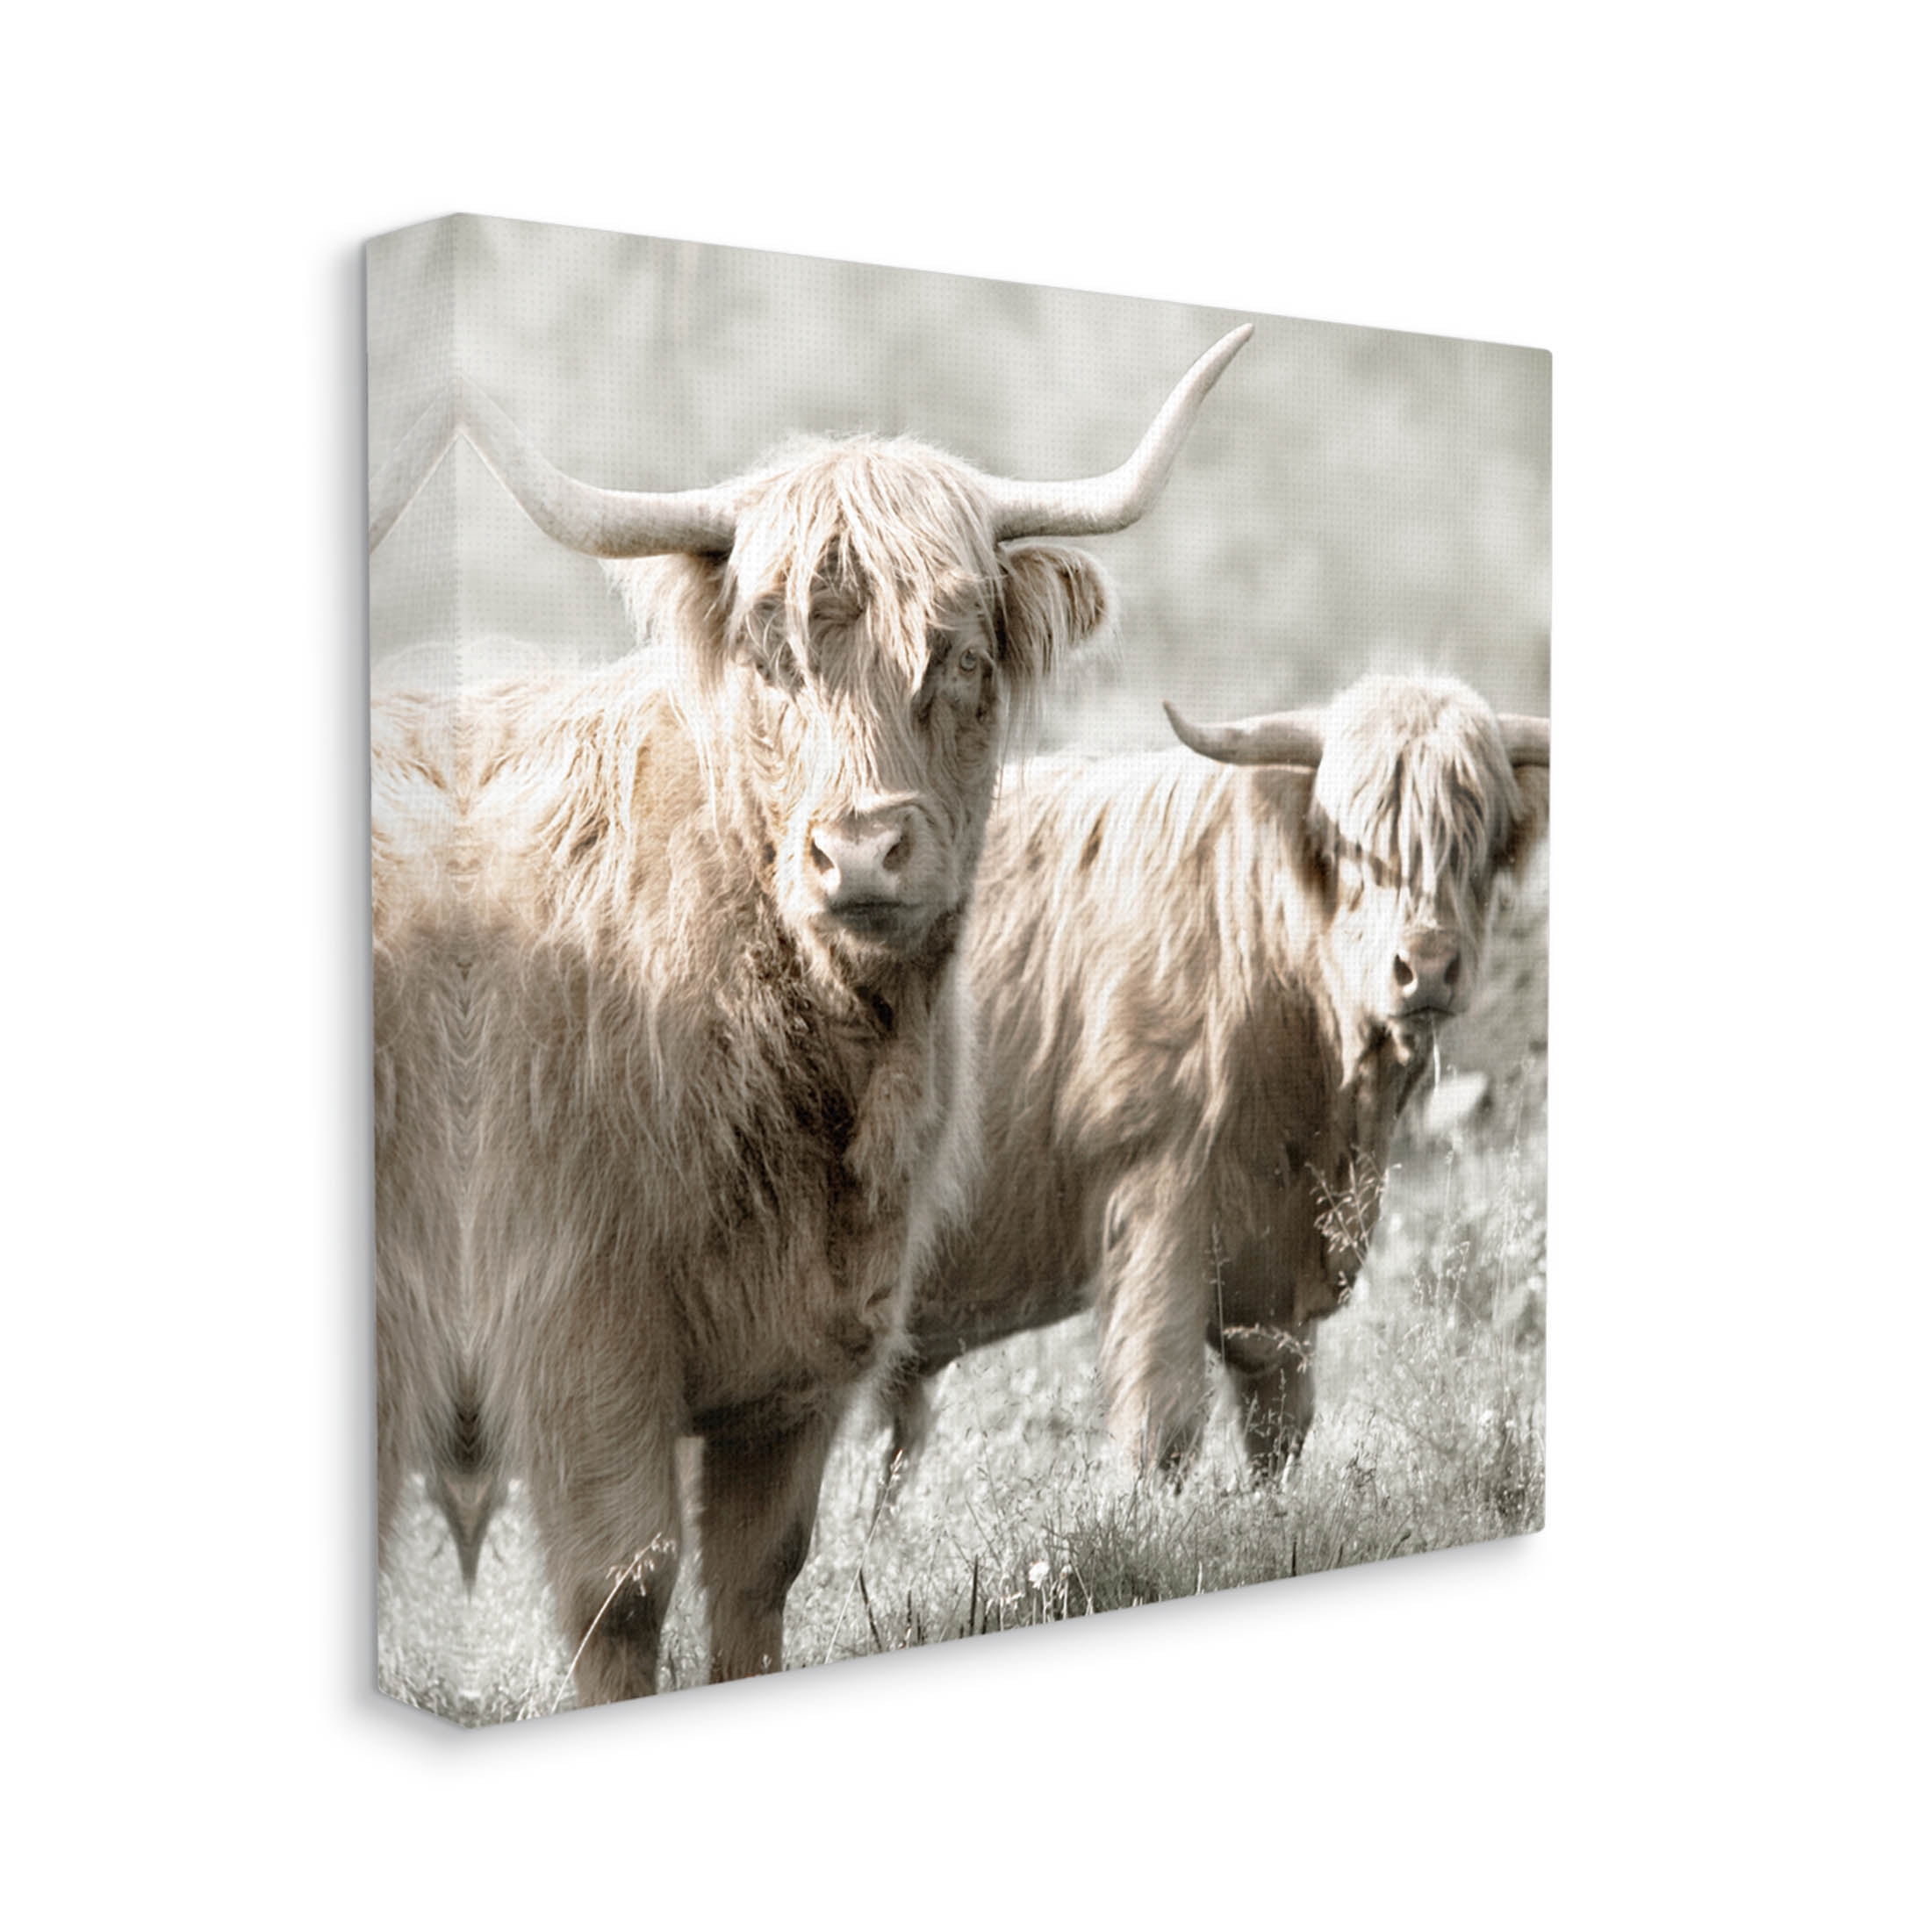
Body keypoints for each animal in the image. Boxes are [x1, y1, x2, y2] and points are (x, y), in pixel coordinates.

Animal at [369, 326, 1252, 1704]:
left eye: (959, 655)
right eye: (775, 657)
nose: (863, 851)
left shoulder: (801, 1367)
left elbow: (758, 1579)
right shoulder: (574, 1332)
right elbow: (622, 1591)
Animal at [882, 673, 1549, 1483]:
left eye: (1477, 844)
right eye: (1348, 847)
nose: (1424, 967)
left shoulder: (1279, 1279)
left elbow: (1279, 1430)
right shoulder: (1161, 1203)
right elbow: (1160, 1424)